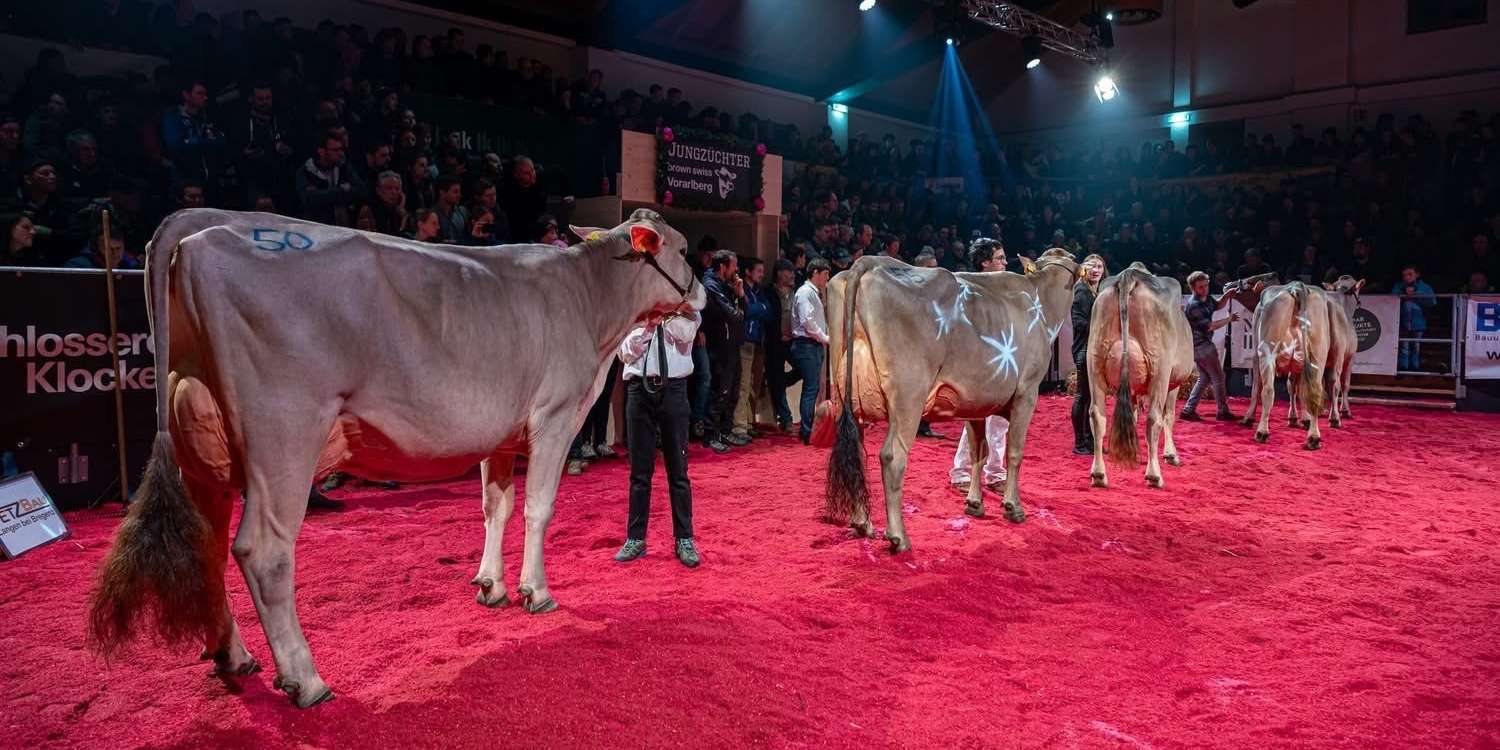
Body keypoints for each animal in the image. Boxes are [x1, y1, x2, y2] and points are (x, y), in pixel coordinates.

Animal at [87, 208, 702, 705]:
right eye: (683, 249)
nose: (701, 296)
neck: (589, 300)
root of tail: (199, 227)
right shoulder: (554, 417)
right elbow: (538, 509)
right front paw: (537, 592)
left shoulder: (501, 434)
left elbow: (495, 508)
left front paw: (491, 586)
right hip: (283, 431)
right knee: (263, 551)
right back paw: (306, 679)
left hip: (202, 446)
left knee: (208, 548)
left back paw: (232, 656)